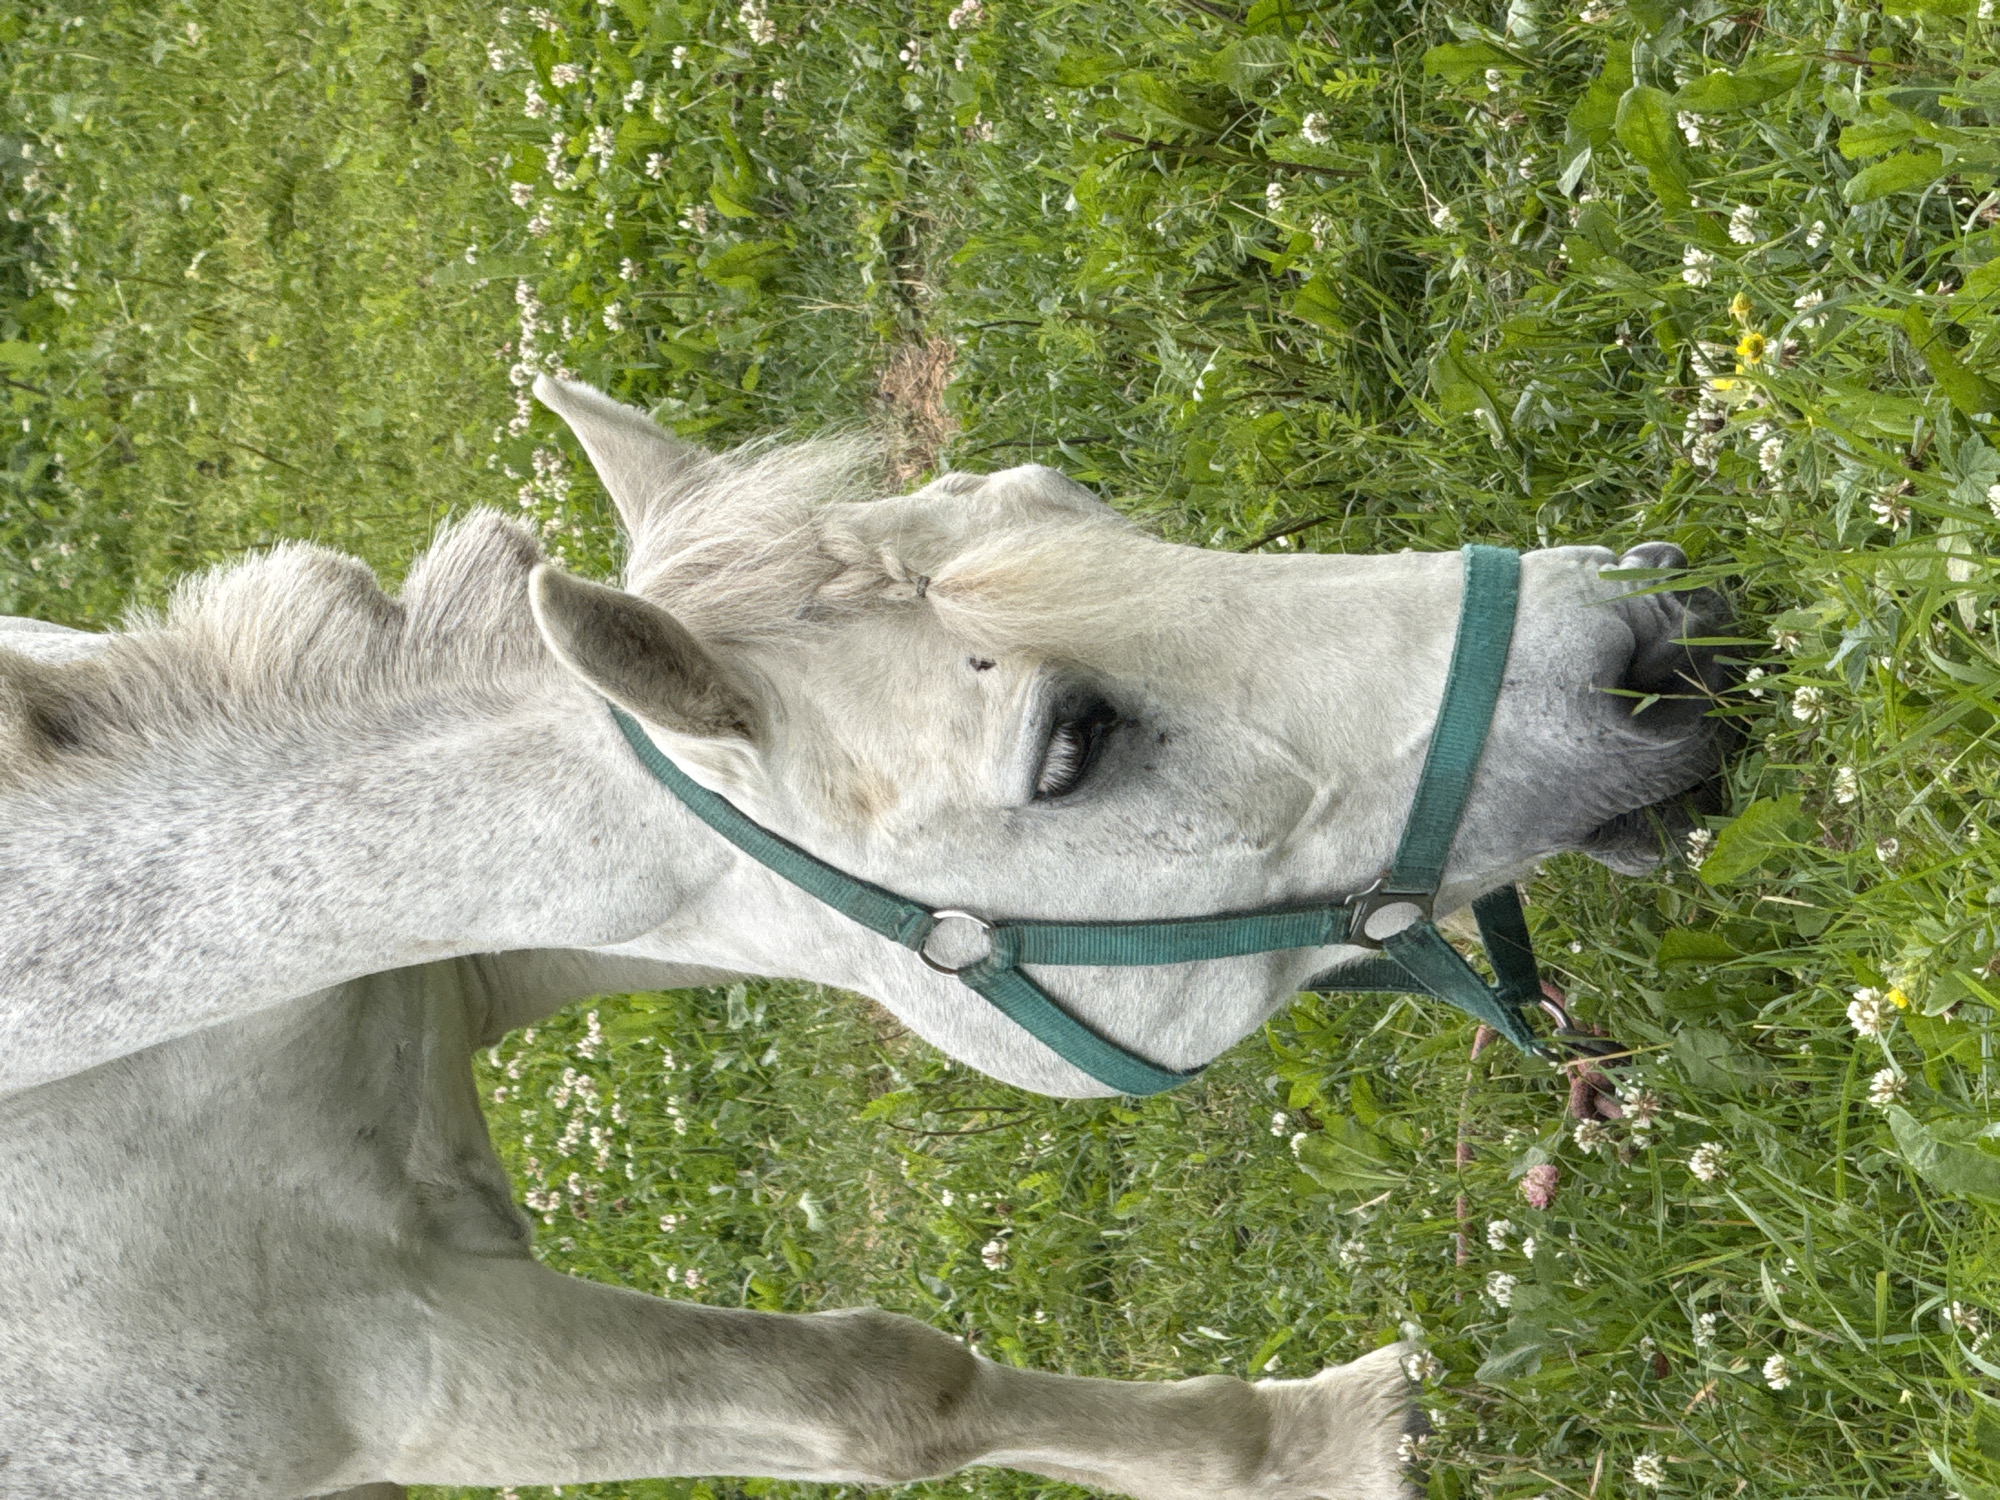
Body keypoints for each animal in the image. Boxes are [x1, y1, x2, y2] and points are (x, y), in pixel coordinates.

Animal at [0, 376, 1729, 1498]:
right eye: (1069, 748)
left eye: (1063, 496)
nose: (1660, 637)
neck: (79, 1046)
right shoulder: (403, 1370)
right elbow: (887, 1397)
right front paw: (1332, 1446)